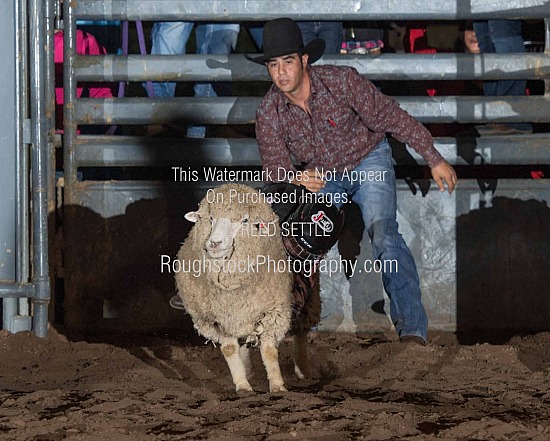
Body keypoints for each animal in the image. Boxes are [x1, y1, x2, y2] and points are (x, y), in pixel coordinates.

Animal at [172, 182, 320, 392]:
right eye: (210, 218)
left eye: (244, 220)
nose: (214, 243)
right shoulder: (218, 319)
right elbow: (230, 349)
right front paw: (242, 385)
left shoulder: (274, 312)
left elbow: (269, 351)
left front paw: (277, 386)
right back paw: (248, 371)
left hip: (309, 300)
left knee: (301, 331)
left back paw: (303, 370)